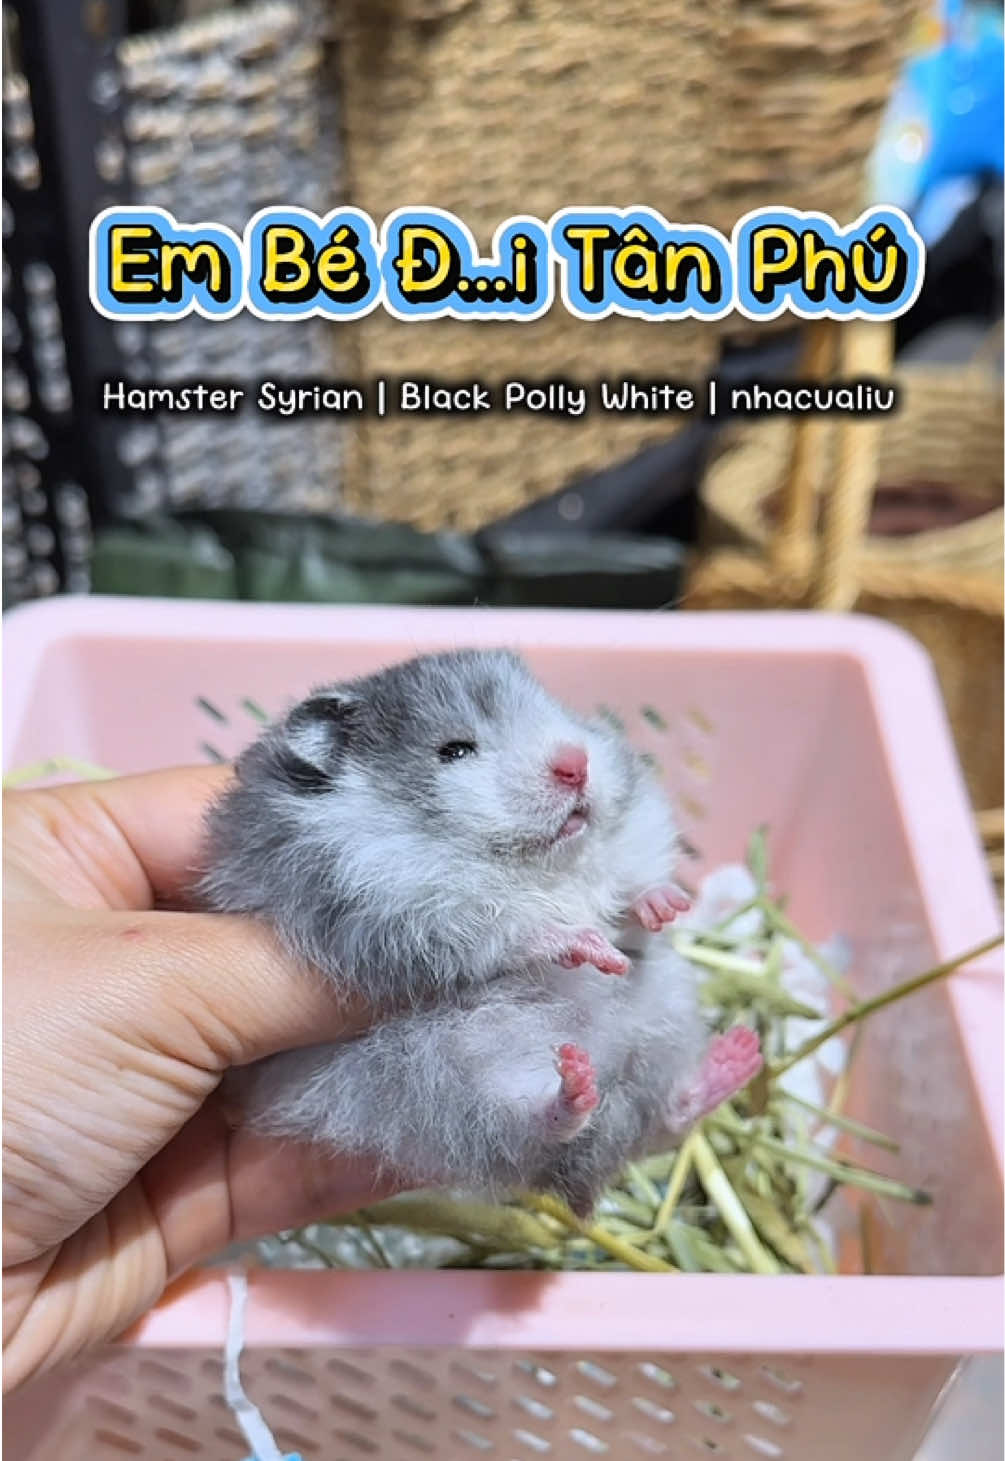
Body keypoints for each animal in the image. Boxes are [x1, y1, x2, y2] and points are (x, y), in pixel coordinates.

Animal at [199, 648, 762, 1215]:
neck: (533, 862)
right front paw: (588, 946)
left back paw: (736, 1058)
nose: (575, 764)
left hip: (667, 1015)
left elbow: (631, 887)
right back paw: (575, 1085)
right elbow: (508, 926)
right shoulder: (396, 913)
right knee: (528, 1136)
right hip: (449, 1083)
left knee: (664, 1117)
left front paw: (665, 908)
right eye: (455, 751)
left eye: (552, 710)